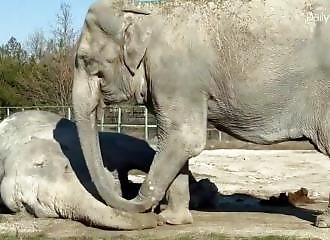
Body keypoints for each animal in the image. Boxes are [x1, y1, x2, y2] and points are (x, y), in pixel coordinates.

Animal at [72, 0, 330, 228]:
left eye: (86, 61)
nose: (117, 183)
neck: (144, 11)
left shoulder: (173, 74)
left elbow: (185, 139)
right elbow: (178, 143)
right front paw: (173, 220)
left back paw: (322, 223)